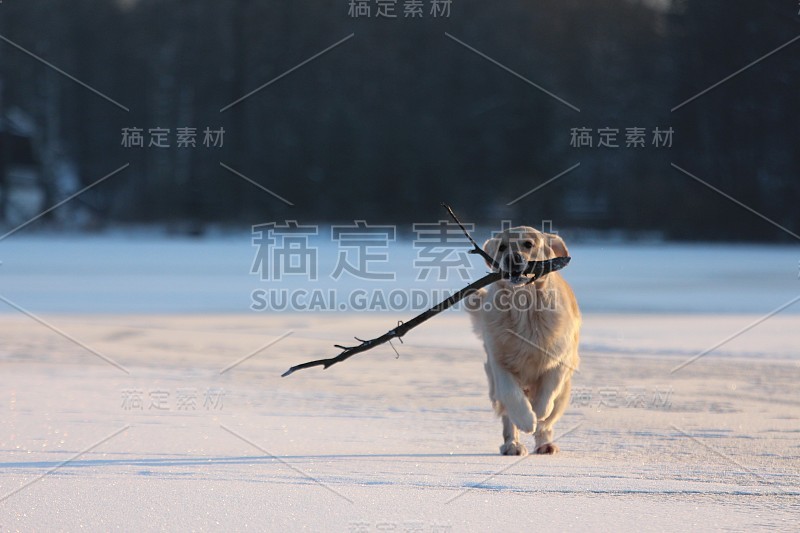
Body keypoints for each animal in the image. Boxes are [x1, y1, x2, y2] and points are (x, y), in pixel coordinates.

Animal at [466, 227, 580, 456]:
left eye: (528, 244)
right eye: (501, 247)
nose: (512, 258)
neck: (525, 306)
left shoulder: (561, 358)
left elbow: (547, 394)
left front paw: (537, 412)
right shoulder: (498, 362)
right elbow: (512, 395)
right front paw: (527, 419)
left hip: (564, 393)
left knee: (549, 420)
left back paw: (545, 443)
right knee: (507, 415)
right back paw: (513, 445)